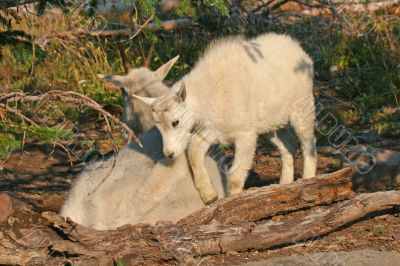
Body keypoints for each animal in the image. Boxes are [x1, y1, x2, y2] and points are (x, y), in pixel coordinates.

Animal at [133, 33, 318, 204]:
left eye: (175, 122)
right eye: (158, 127)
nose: (169, 154)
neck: (207, 95)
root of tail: (297, 48)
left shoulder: (244, 134)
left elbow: (235, 173)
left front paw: (232, 200)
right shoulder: (212, 129)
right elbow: (194, 150)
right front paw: (209, 195)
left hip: (302, 106)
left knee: (308, 142)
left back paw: (308, 179)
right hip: (271, 122)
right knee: (288, 144)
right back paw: (284, 183)